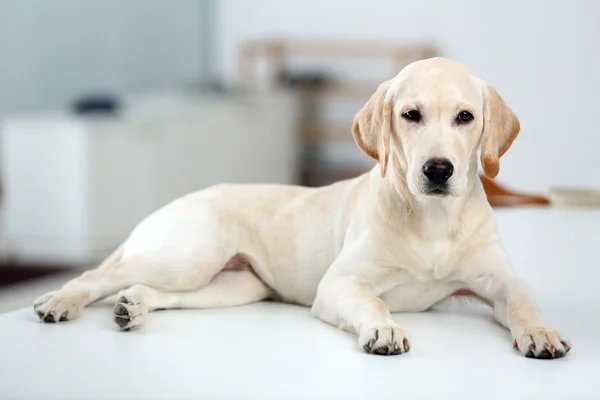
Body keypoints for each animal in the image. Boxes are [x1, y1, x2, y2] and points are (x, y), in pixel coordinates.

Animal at [35, 57, 568, 360]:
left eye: (465, 117)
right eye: (410, 115)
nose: (438, 170)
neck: (433, 222)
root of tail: (174, 203)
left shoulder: (500, 280)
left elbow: (523, 301)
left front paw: (541, 332)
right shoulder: (339, 285)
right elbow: (372, 301)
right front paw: (383, 327)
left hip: (232, 286)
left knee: (149, 289)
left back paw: (133, 308)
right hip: (189, 257)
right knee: (99, 275)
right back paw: (60, 301)